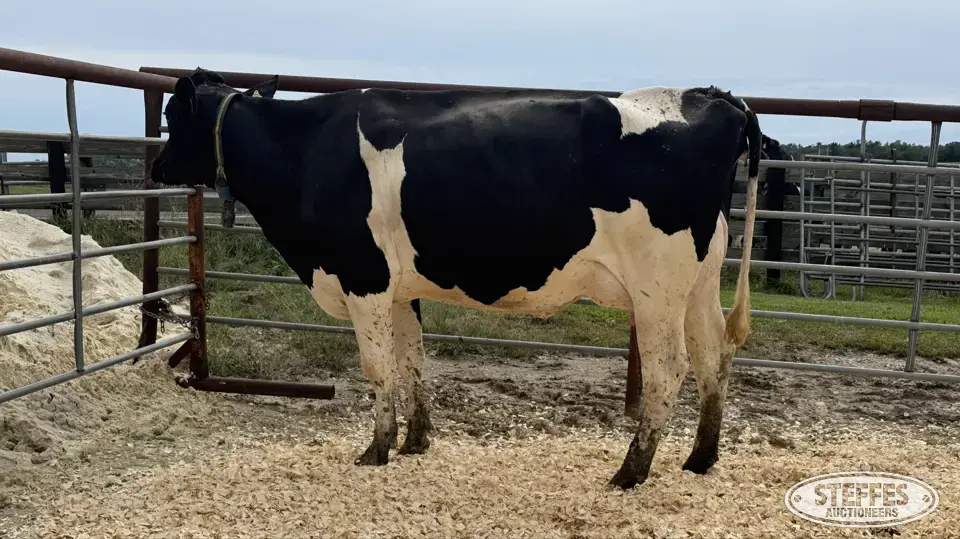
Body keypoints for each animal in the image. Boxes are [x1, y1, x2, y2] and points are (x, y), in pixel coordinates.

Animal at [150, 68, 761, 490]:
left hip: (657, 287)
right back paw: (699, 459)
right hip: (698, 284)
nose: (155, 168)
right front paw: (415, 442)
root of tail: (713, 96)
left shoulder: (364, 277)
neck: (305, 153)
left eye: (173, 120)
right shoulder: (399, 289)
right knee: (714, 356)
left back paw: (631, 472)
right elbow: (413, 361)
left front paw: (375, 450)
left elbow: (378, 368)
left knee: (669, 369)